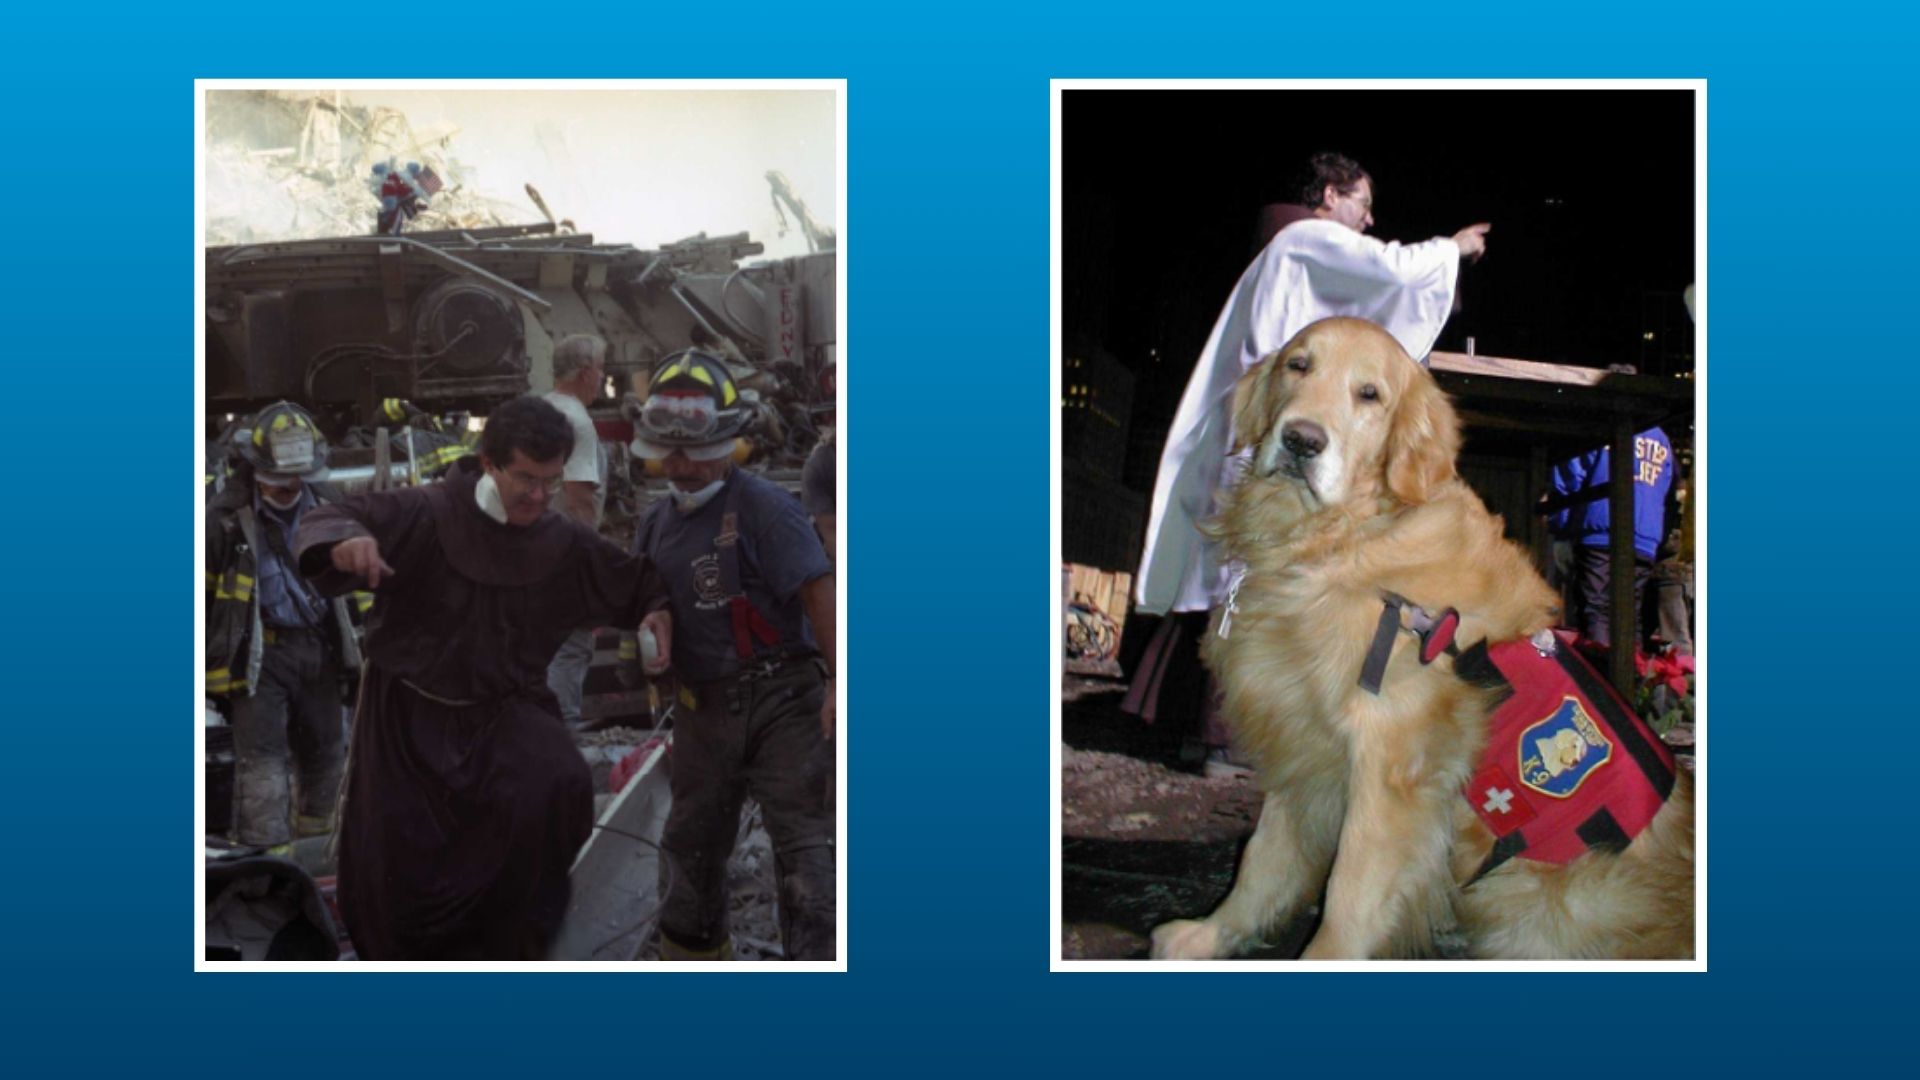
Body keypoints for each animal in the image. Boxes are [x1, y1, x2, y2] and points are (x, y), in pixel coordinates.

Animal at [1144, 315, 1689, 953]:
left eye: (1370, 394)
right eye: (1297, 365)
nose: (1302, 440)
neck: (1342, 538)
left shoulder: (1392, 771)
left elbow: (1349, 897)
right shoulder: (1302, 743)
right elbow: (1262, 859)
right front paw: (1210, 933)